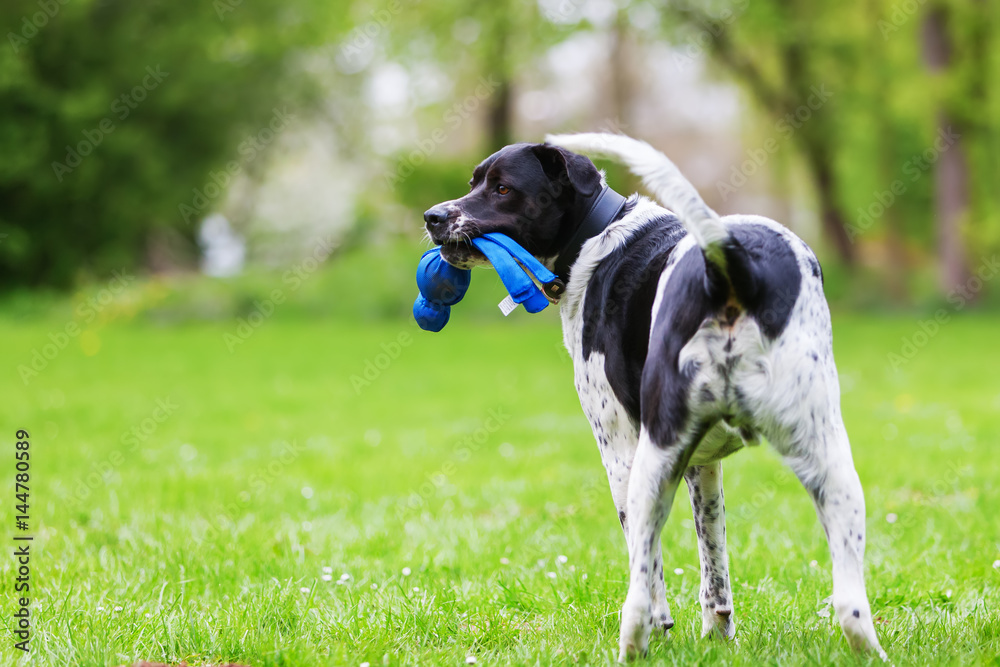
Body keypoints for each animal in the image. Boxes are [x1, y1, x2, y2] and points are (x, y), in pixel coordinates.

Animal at [422, 133, 884, 660]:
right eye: (473, 182)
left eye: (502, 188)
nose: (433, 216)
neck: (599, 236)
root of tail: (728, 265)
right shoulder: (704, 465)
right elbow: (714, 565)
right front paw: (717, 637)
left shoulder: (622, 456)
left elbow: (652, 567)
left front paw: (668, 629)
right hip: (834, 470)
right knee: (851, 607)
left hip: (648, 466)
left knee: (639, 596)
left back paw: (633, 647)